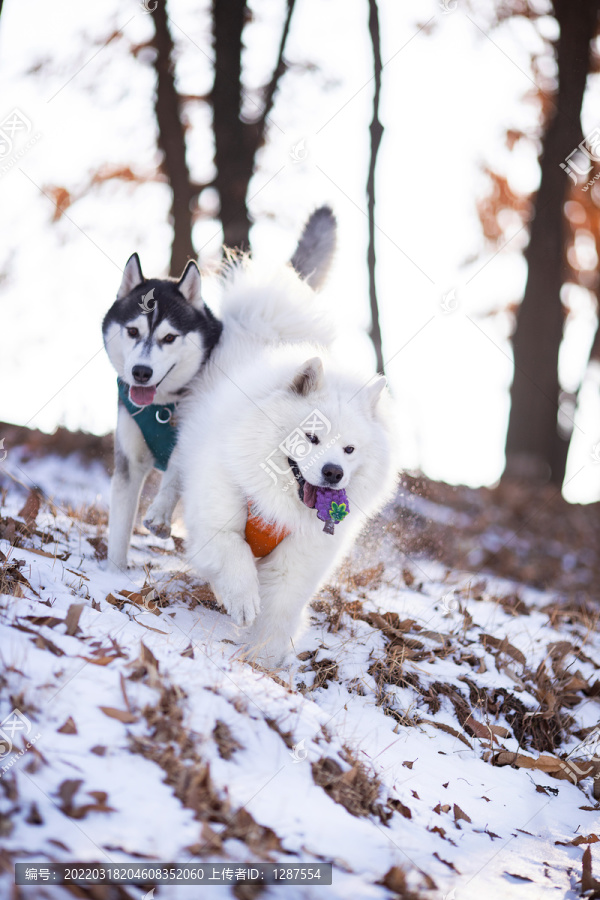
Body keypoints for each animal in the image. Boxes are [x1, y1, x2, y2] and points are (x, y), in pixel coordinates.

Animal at [103, 209, 338, 568]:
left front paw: (160, 515)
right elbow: (119, 529)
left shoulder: (195, 428)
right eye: (132, 331)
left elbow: (176, 471)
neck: (165, 406)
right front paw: (113, 572)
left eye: (169, 337)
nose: (141, 372)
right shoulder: (130, 460)